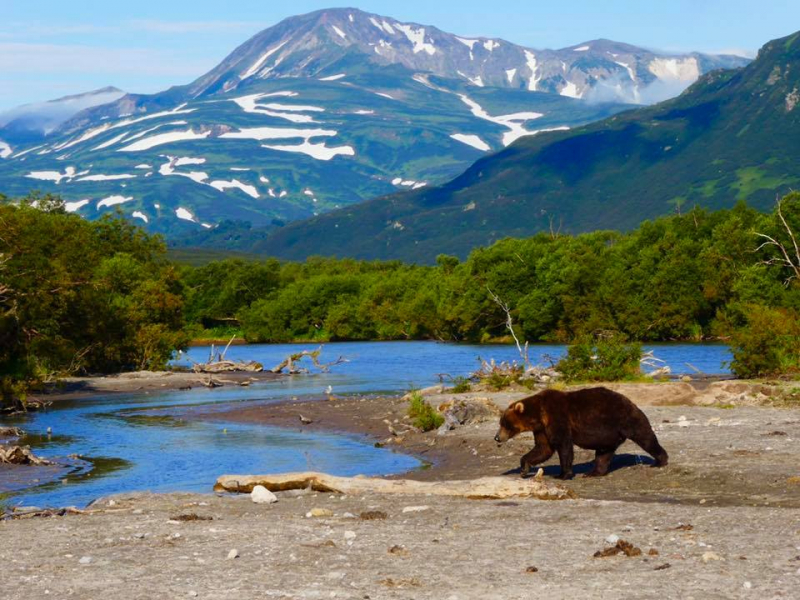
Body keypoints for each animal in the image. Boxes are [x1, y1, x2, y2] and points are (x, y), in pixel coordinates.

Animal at [494, 386, 668, 480]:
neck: (539, 415)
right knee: (603, 454)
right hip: (607, 435)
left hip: (626, 419)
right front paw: (524, 468)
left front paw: (563, 474)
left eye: (505, 424)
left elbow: (563, 445)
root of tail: (629, 400)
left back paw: (660, 460)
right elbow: (543, 449)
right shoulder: (541, 429)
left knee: (645, 437)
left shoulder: (557, 418)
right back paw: (594, 472)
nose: (497, 437)